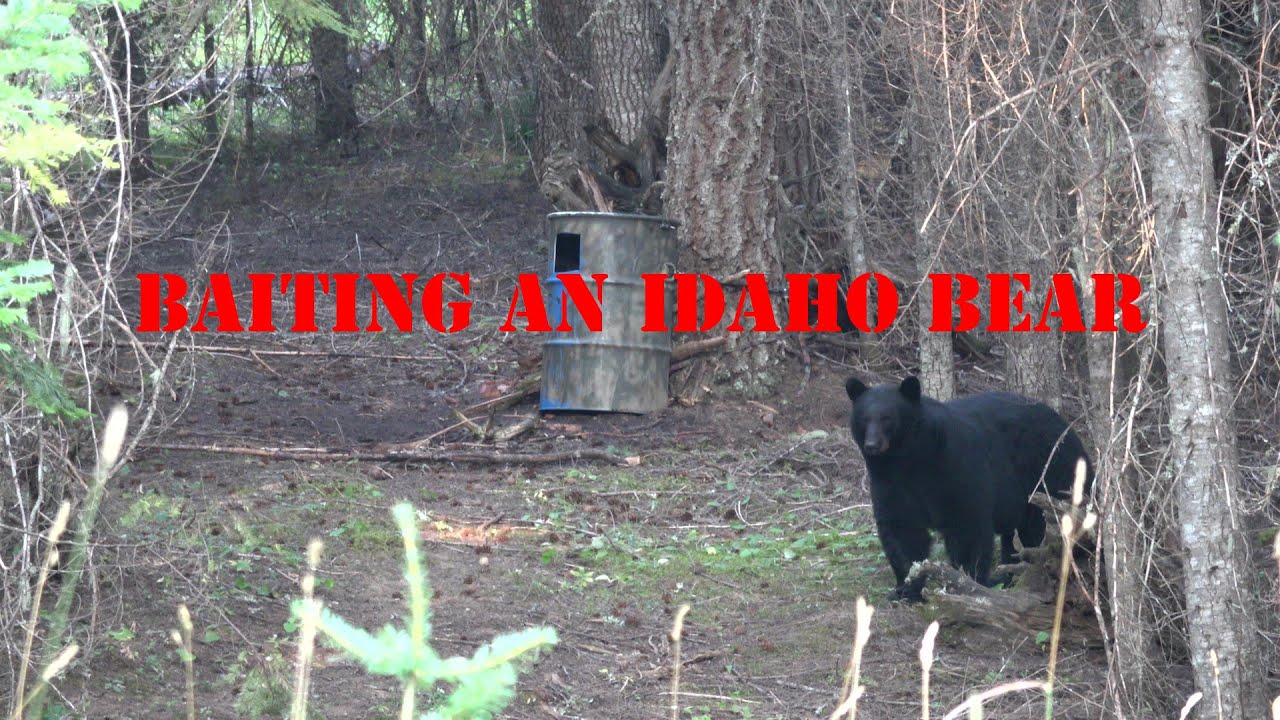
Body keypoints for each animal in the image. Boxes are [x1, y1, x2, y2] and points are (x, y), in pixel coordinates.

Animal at [844, 375, 1092, 602]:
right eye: (864, 418)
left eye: (887, 418)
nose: (873, 445)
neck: (910, 459)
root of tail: (1067, 427)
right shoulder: (890, 482)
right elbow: (903, 529)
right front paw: (906, 589)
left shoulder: (956, 467)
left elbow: (967, 526)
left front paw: (969, 582)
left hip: (1051, 474)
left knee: (1040, 528)